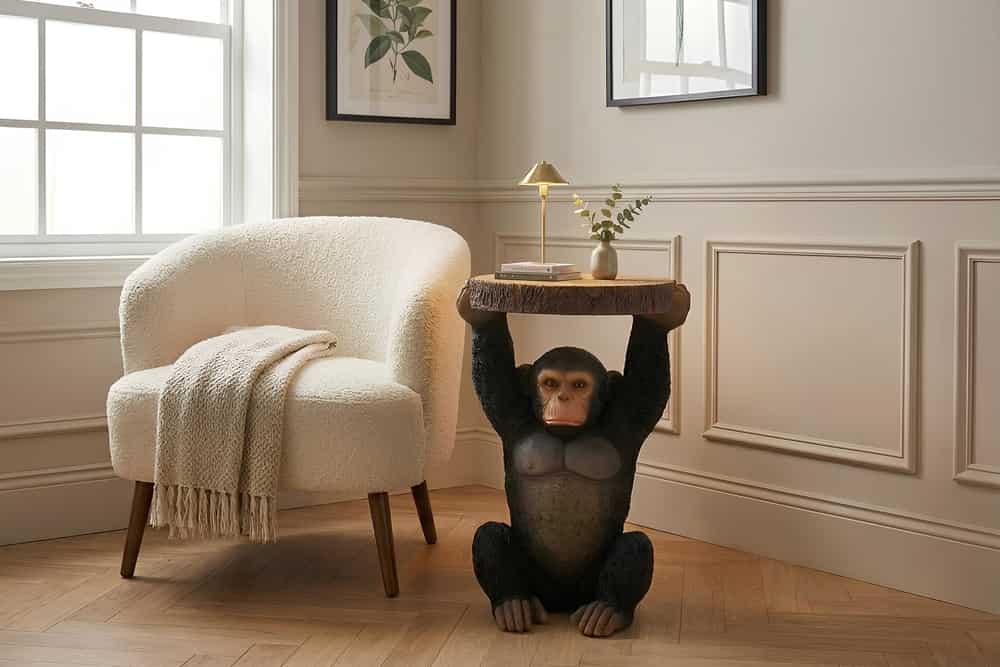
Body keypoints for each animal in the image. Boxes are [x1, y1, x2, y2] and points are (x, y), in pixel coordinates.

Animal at [457, 283, 690, 637]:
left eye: (579, 385)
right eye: (550, 383)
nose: (563, 397)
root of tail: (561, 602)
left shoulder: (628, 419)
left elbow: (649, 381)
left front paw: (660, 317)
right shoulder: (511, 415)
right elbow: (492, 376)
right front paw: (480, 314)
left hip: (588, 586)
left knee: (636, 544)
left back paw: (608, 610)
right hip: (537, 582)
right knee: (489, 533)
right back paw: (514, 603)